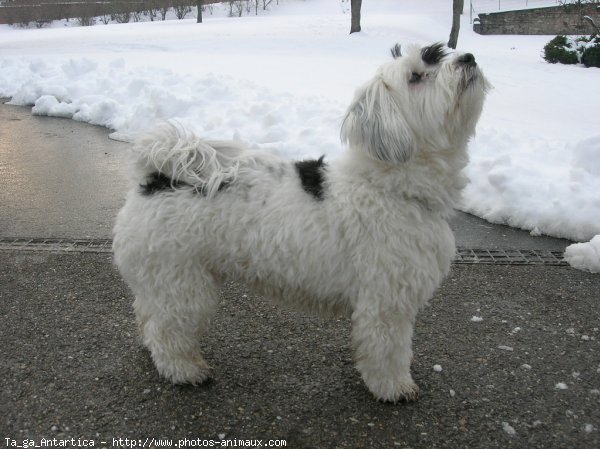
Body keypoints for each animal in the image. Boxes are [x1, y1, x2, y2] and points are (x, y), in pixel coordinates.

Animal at [113, 43, 492, 402]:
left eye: (439, 53)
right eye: (416, 76)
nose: (469, 58)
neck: (390, 186)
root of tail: (156, 176)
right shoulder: (386, 303)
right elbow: (388, 351)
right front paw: (394, 387)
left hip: (161, 280)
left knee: (147, 317)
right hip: (181, 283)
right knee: (167, 331)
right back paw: (184, 370)